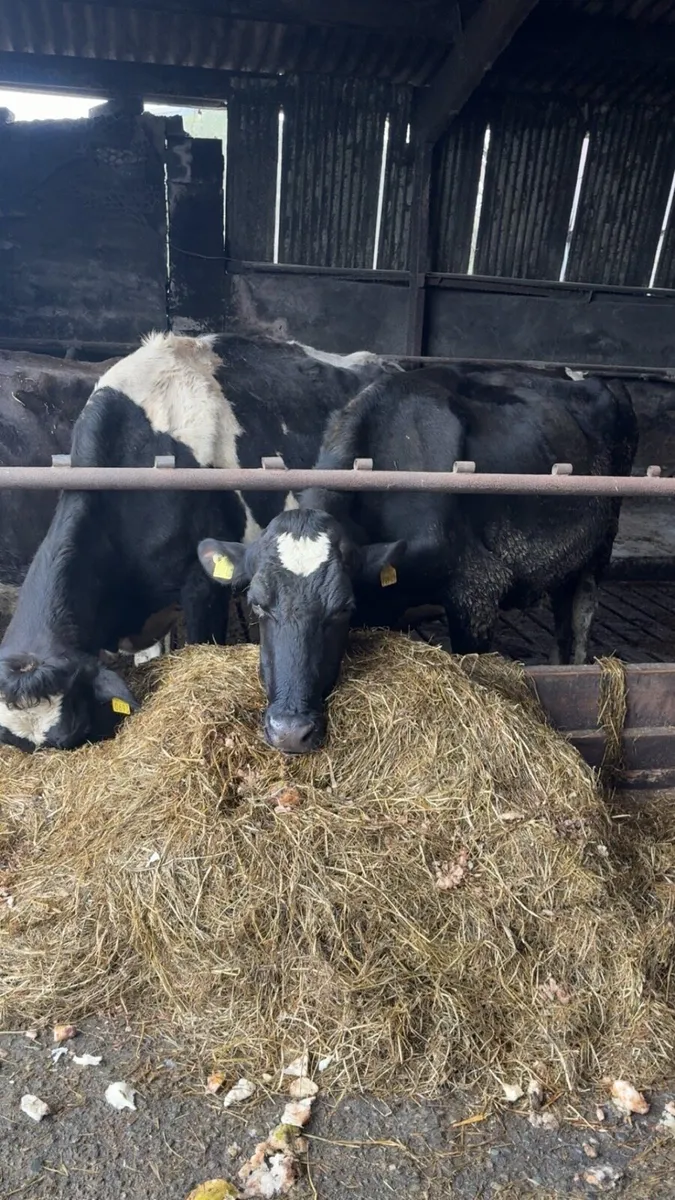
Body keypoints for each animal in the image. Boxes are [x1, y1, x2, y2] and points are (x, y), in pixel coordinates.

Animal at [197, 365, 638, 754]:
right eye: (257, 605)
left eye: (342, 608)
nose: (290, 731)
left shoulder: (477, 588)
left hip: (602, 542)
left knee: (580, 615)